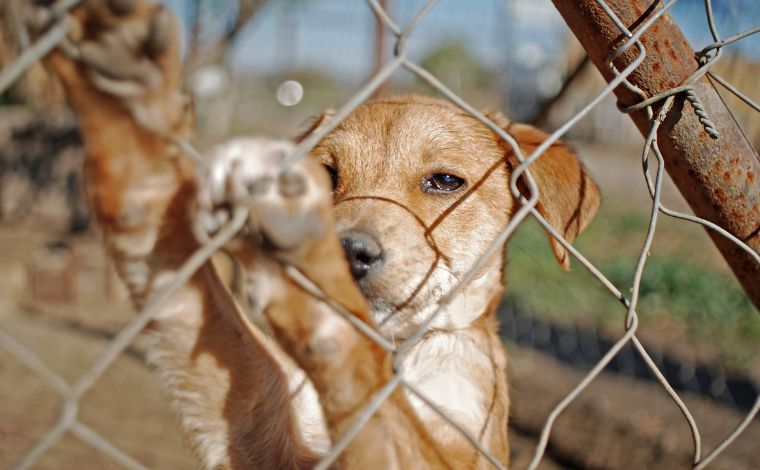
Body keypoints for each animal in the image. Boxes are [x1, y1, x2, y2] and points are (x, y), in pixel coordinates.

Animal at [44, 1, 600, 468]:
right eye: (325, 175)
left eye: (445, 182)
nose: (347, 250)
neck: (401, 355)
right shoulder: (259, 425)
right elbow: (194, 293)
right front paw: (121, 98)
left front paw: (317, 279)